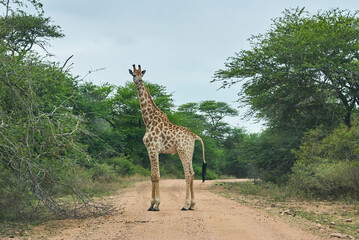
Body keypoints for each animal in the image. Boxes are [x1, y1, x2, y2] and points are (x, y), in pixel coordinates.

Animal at [130, 64, 208, 212]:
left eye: (142, 75)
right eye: (134, 75)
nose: (139, 81)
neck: (148, 120)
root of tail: (193, 136)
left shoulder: (154, 149)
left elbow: (156, 176)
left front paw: (156, 205)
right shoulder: (150, 150)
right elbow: (152, 176)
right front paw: (151, 205)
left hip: (183, 152)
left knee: (187, 174)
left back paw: (185, 205)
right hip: (189, 152)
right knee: (192, 173)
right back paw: (192, 205)